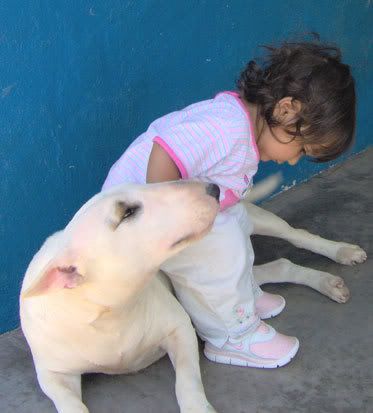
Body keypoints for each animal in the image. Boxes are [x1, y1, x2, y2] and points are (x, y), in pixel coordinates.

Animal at [19, 179, 364, 410]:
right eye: (127, 212)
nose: (213, 188)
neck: (111, 313)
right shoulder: (52, 376)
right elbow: (70, 405)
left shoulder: (178, 329)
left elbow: (186, 382)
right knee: (276, 267)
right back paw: (323, 284)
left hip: (256, 219)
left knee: (296, 235)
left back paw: (341, 252)